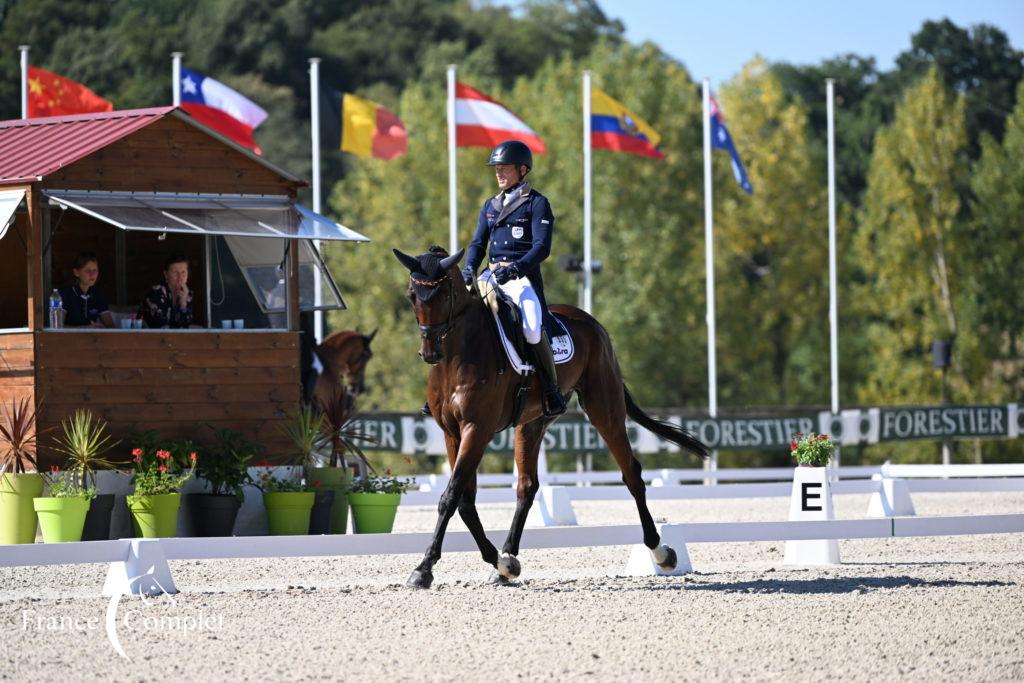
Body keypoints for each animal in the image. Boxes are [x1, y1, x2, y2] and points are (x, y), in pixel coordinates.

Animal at [387, 245, 708, 589]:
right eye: (412, 295)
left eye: (444, 293)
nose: (430, 352)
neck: (457, 357)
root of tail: (590, 321)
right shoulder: (452, 432)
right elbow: (464, 500)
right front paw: (498, 562)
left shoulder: (477, 428)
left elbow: (451, 497)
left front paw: (424, 568)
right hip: (532, 423)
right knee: (527, 486)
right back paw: (509, 557)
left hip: (604, 407)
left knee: (631, 473)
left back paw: (661, 551)